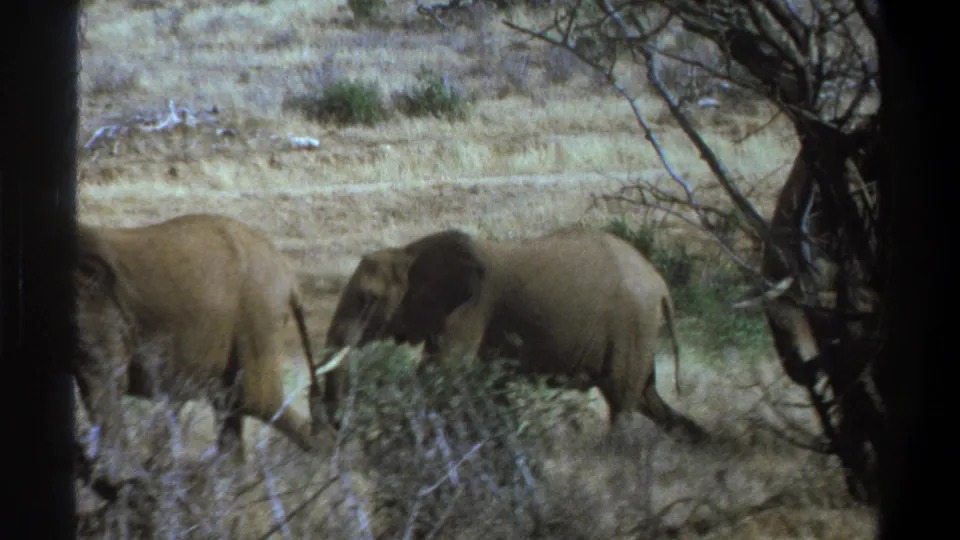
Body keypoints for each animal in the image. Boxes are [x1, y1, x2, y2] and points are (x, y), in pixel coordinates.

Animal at [74, 213, 327, 467]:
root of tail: (289, 276)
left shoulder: (95, 310)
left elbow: (105, 384)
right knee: (231, 404)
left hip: (257, 313)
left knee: (256, 401)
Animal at [318, 226, 708, 444]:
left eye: (368, 300)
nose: (339, 432)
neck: (409, 252)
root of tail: (660, 285)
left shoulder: (470, 308)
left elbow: (440, 374)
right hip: (639, 329)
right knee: (646, 397)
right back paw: (704, 442)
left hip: (631, 323)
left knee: (623, 400)